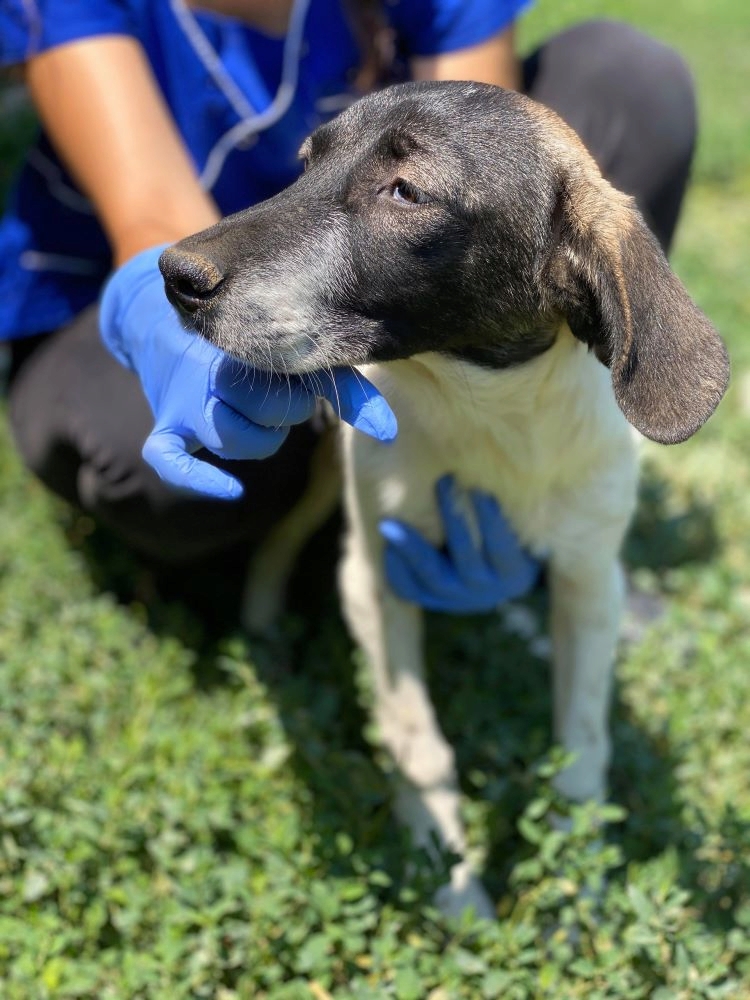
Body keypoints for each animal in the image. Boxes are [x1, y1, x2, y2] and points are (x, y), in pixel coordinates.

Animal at [159, 82, 728, 916]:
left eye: (405, 191)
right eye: (305, 163)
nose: (173, 273)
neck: (488, 419)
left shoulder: (592, 580)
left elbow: (583, 748)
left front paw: (578, 886)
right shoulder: (375, 576)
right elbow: (417, 743)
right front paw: (450, 879)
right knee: (283, 539)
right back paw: (264, 627)